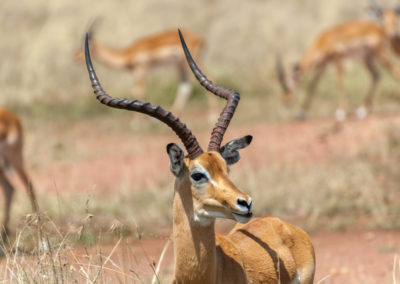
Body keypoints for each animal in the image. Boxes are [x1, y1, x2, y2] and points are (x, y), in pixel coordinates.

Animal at [76, 26, 205, 112]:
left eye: (81, 48)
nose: (75, 57)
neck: (126, 54)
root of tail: (201, 39)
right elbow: (137, 91)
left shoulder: (141, 69)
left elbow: (138, 91)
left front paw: (137, 124)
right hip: (180, 65)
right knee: (185, 87)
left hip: (192, 61)